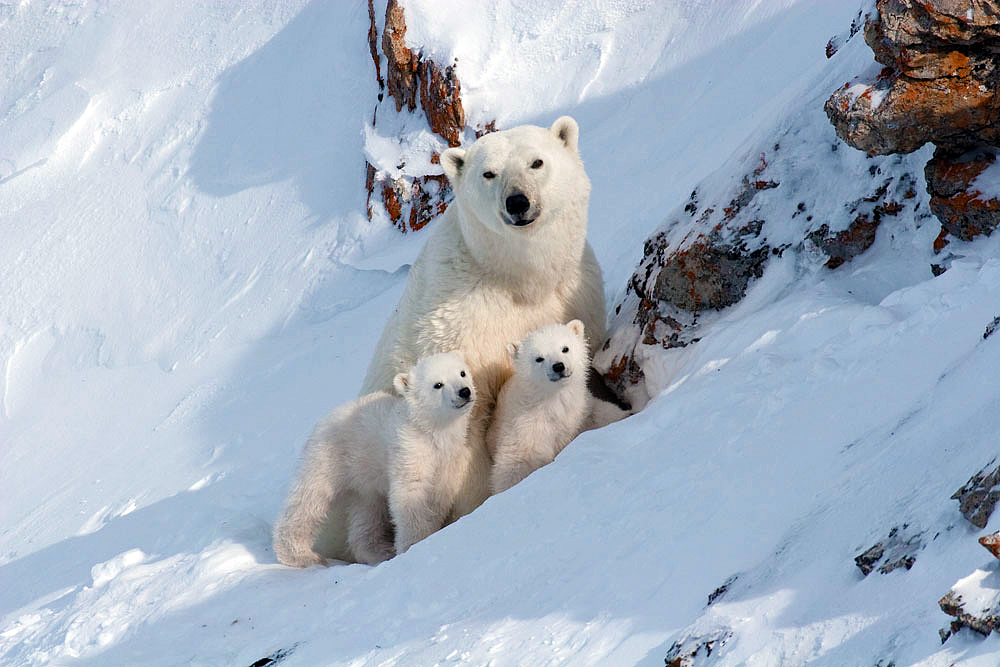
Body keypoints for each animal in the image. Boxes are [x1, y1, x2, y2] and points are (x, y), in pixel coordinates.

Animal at [274, 352, 476, 568]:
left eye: (462, 372)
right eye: (437, 384)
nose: (464, 391)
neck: (431, 430)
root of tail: (323, 420)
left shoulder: (450, 457)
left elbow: (440, 494)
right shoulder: (408, 449)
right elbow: (409, 495)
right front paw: (413, 544)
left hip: (364, 481)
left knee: (366, 516)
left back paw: (379, 551)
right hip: (328, 456)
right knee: (309, 499)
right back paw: (301, 555)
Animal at [488, 320, 588, 494]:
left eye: (565, 348)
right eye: (539, 358)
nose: (558, 366)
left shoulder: (574, 416)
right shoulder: (524, 428)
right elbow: (516, 461)